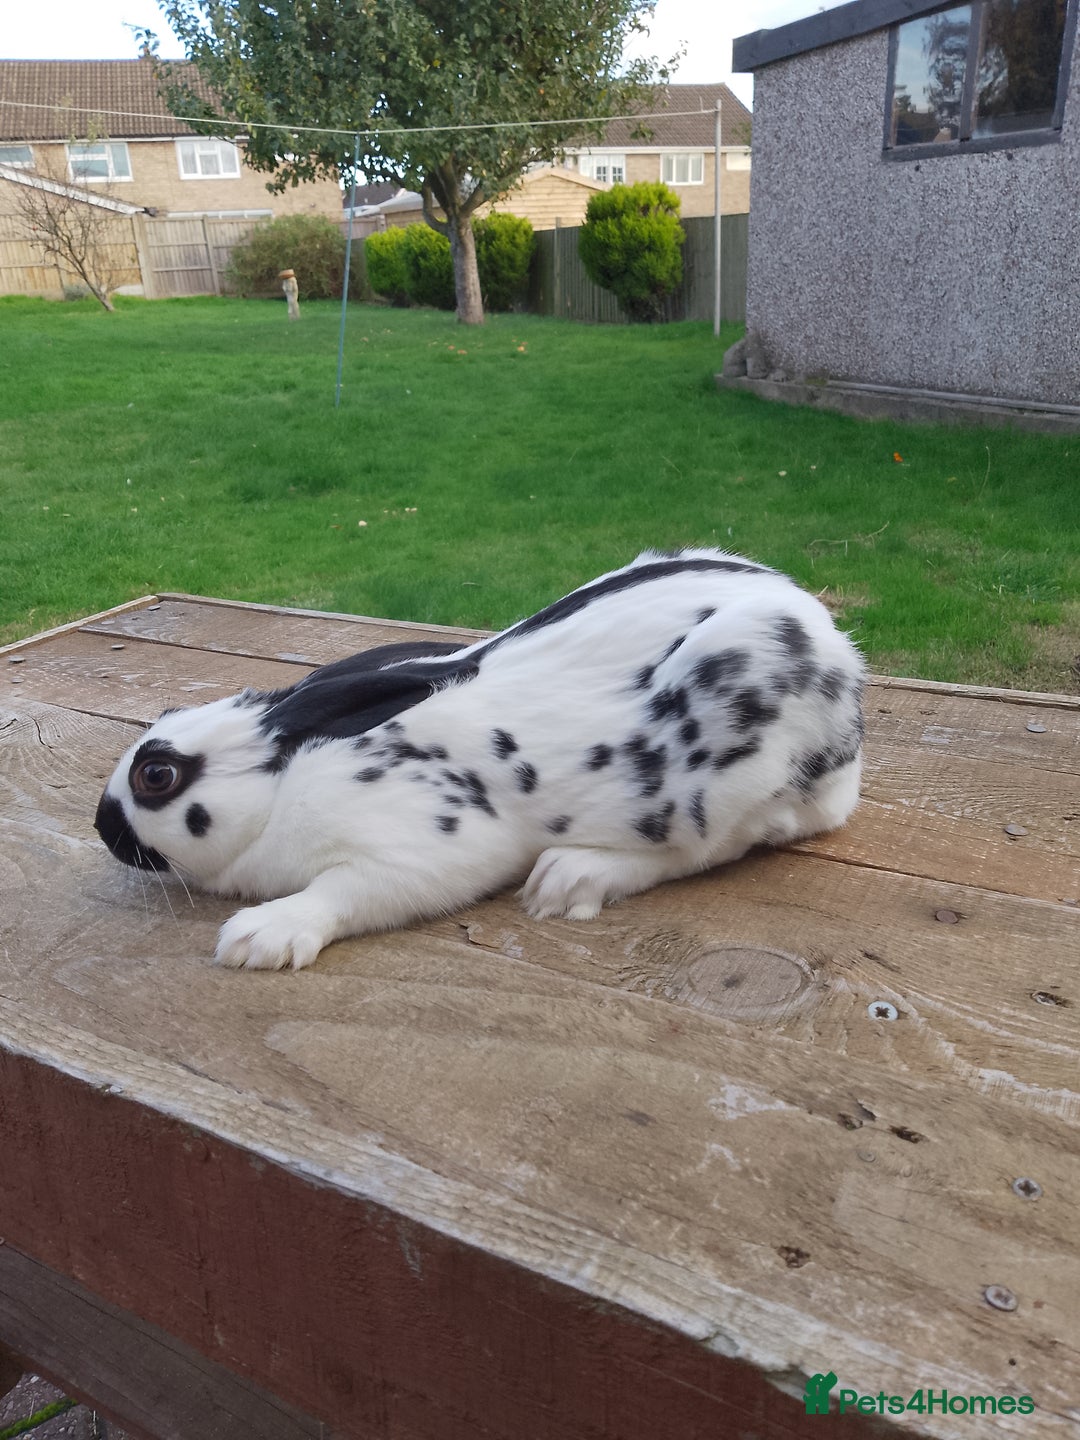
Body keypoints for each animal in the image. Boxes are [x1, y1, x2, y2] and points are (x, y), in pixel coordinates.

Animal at [95, 549, 865, 970]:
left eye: (157, 775)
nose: (104, 828)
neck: (280, 788)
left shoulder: (413, 851)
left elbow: (340, 895)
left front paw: (258, 937)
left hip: (723, 770)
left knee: (707, 848)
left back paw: (567, 879)